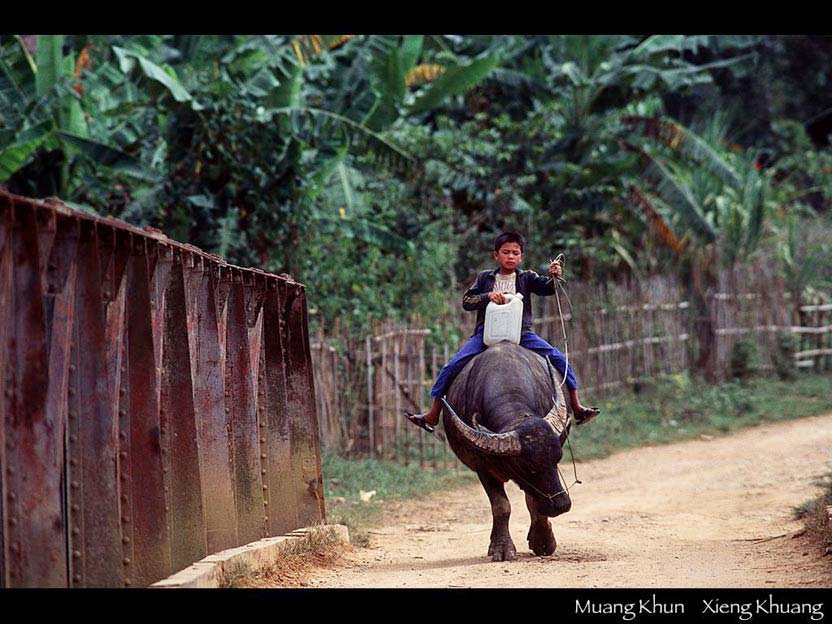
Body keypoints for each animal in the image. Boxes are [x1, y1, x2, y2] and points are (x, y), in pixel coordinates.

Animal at [442, 344, 572, 564]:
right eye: (529, 469)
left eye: (558, 459)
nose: (561, 505)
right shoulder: (483, 468)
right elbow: (501, 506)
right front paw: (501, 548)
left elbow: (532, 501)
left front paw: (542, 541)